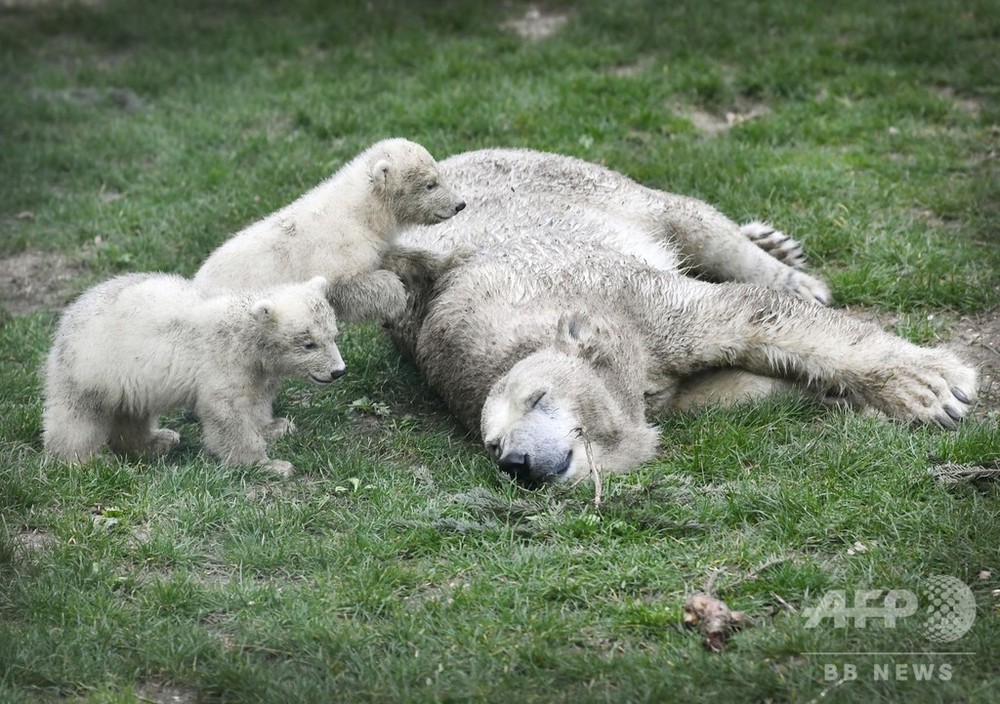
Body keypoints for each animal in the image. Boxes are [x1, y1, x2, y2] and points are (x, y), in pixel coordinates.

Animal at [386, 149, 980, 486]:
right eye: (491, 444)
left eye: (537, 397)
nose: (517, 462)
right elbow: (730, 393)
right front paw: (829, 396)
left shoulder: (629, 301)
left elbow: (745, 314)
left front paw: (932, 388)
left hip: (578, 181)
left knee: (693, 221)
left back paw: (786, 268)